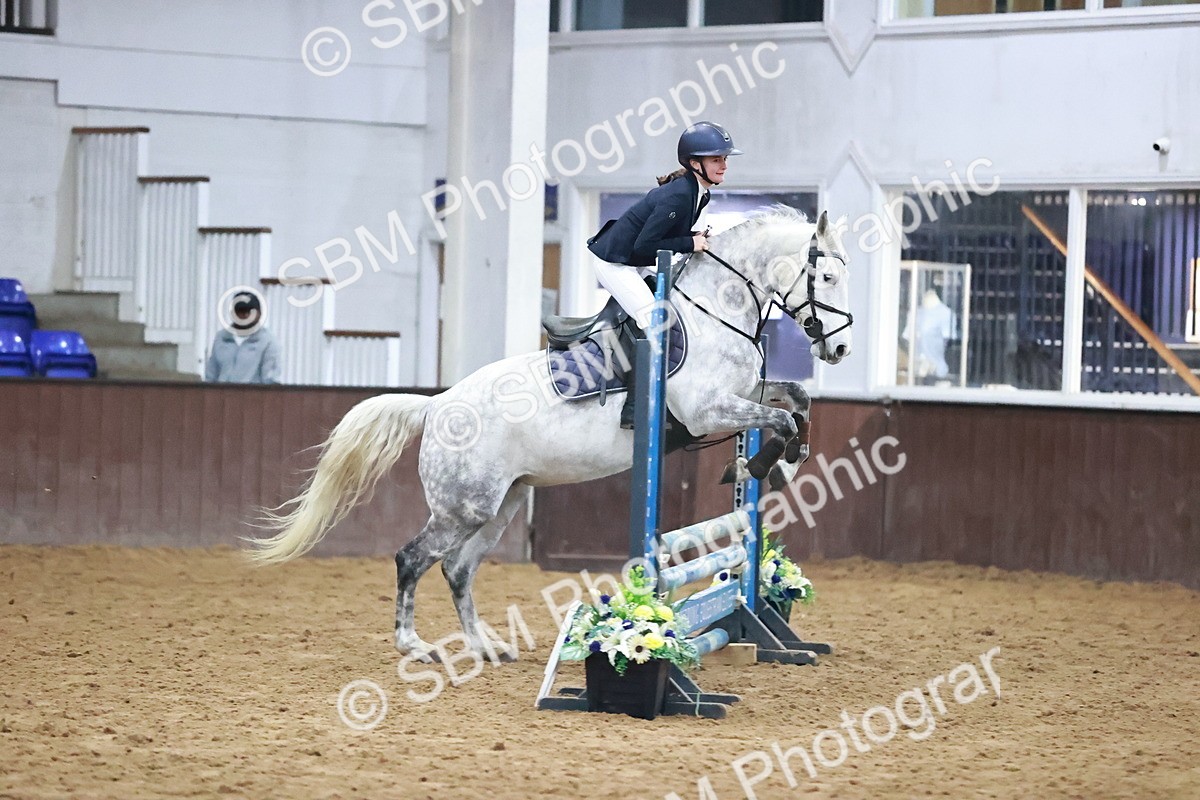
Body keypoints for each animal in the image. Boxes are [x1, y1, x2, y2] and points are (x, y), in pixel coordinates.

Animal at [246, 206, 853, 662]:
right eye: (827, 277)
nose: (841, 348)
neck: (714, 313)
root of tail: (438, 404)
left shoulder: (744, 395)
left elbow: (796, 402)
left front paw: (782, 460)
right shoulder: (709, 412)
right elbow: (780, 418)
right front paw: (763, 464)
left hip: (503, 503)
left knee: (457, 568)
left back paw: (486, 647)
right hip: (463, 507)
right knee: (412, 559)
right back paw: (415, 647)